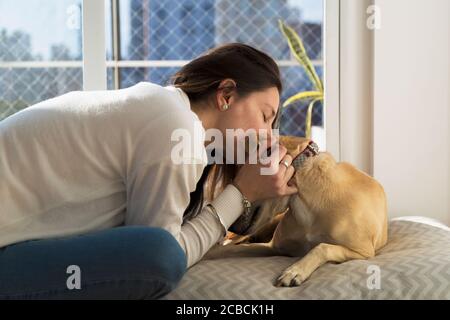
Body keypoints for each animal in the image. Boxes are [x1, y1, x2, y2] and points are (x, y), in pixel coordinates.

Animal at [204, 135, 386, 288]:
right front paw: (209, 253)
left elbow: (322, 247)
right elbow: (232, 249)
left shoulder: (363, 252)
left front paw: (295, 271)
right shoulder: (274, 248)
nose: (229, 226)